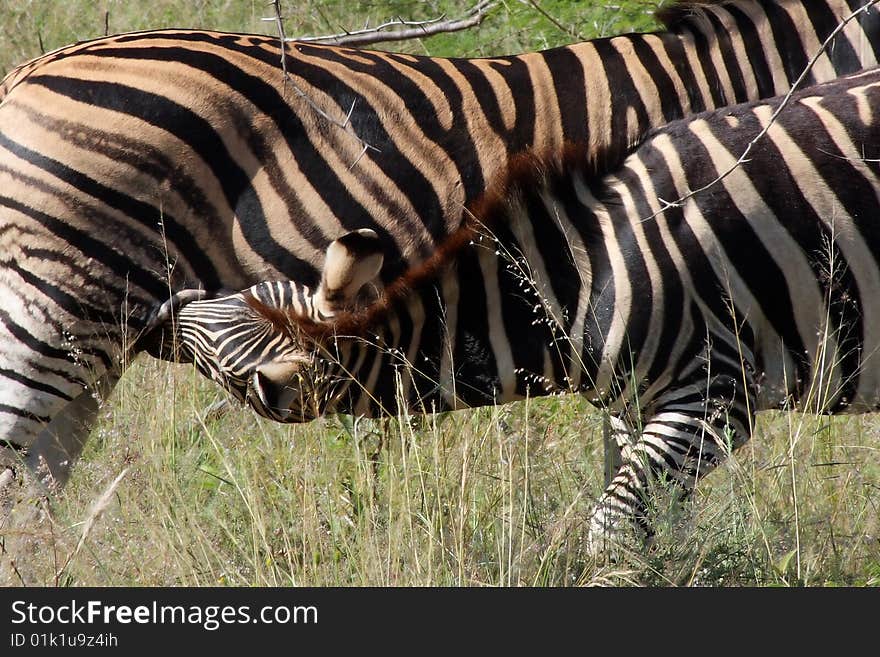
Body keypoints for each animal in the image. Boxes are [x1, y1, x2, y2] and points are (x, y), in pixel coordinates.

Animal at [155, 66, 880, 548]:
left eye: (237, 309)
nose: (166, 307)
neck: (584, 278)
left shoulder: (716, 393)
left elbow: (612, 528)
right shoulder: (639, 407)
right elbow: (654, 530)